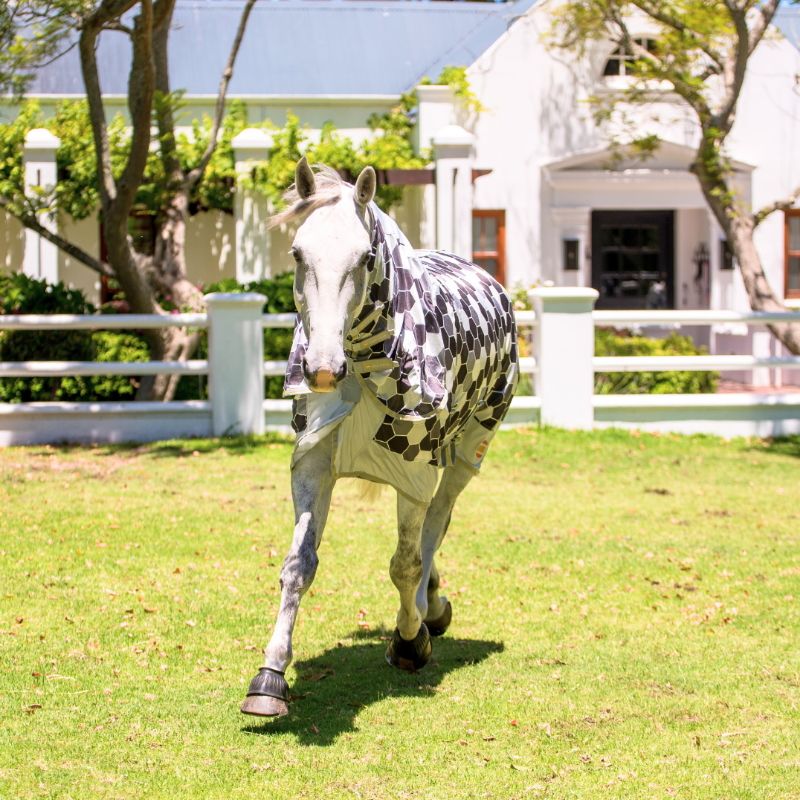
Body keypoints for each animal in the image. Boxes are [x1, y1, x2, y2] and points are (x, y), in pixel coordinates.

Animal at [241, 158, 519, 717]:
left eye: (366, 257)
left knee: (436, 524)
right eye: (297, 252)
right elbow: (298, 566)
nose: (323, 368)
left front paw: (409, 642)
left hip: (465, 453)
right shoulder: (312, 462)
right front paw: (269, 676)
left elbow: (405, 564)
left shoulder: (414, 471)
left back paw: (427, 610)